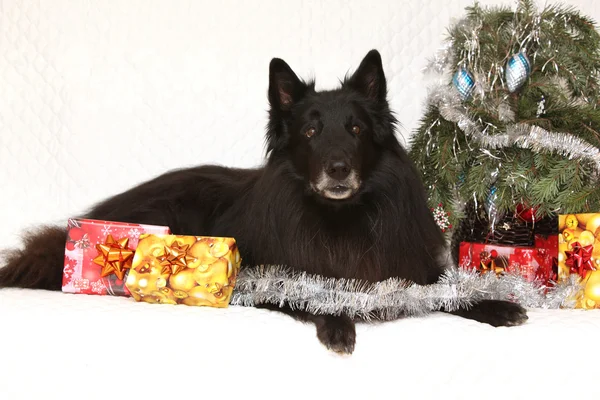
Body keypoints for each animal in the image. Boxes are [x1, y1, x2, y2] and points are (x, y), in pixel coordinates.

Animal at [0, 50, 524, 354]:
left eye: (355, 128)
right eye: (310, 132)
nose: (338, 169)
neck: (339, 217)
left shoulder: (406, 269)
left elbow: (448, 291)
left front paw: (494, 305)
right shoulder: (267, 276)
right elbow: (311, 292)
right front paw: (338, 322)